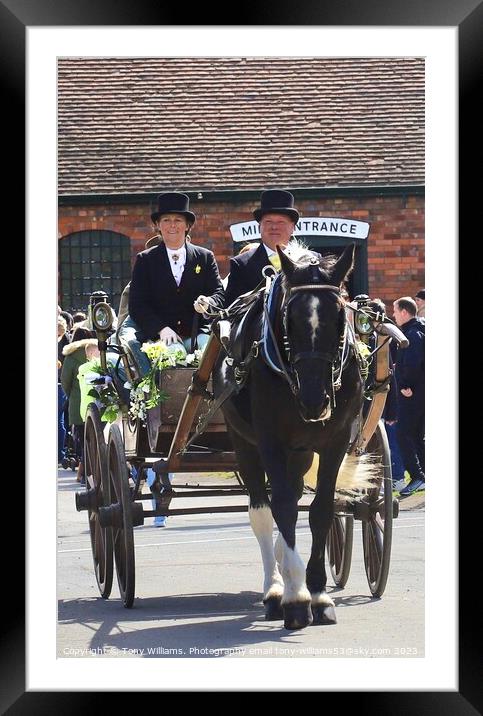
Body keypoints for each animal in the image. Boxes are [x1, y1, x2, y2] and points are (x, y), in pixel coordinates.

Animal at [215, 243, 366, 628]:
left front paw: (318, 593)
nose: (315, 400)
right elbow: (281, 507)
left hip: (299, 452)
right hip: (245, 443)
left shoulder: (335, 441)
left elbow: (320, 510)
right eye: (289, 319)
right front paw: (296, 597)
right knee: (262, 510)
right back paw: (275, 589)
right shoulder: (270, 440)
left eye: (339, 315)